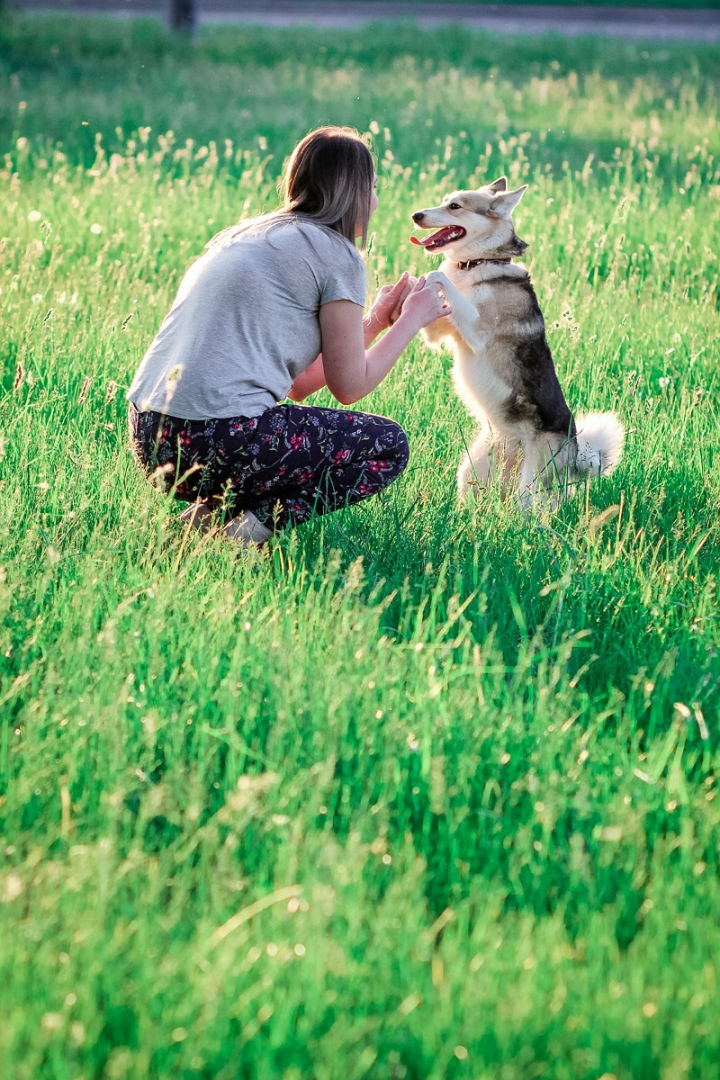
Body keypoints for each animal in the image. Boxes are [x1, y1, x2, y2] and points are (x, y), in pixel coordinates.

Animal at [410, 178, 626, 509]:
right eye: (444, 201)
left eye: (454, 206)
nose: (415, 215)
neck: (479, 263)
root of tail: (576, 456)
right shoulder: (439, 333)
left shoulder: (476, 331)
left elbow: (439, 275)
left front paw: (431, 278)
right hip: (471, 469)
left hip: (531, 487)